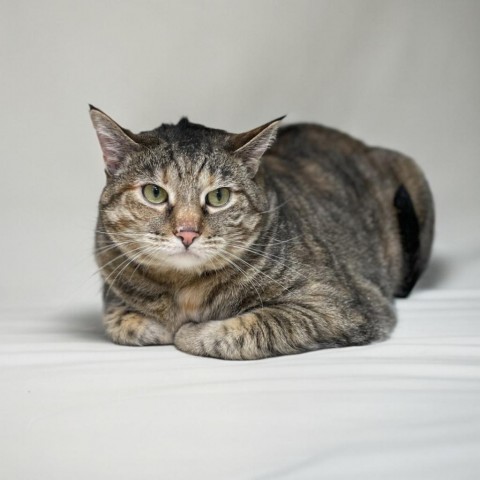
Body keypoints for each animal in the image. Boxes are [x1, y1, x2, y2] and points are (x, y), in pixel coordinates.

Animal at [90, 106, 436, 360]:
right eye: (154, 193)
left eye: (219, 197)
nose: (187, 233)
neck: (184, 289)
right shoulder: (111, 284)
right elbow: (121, 322)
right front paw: (158, 326)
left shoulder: (338, 306)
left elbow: (251, 327)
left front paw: (189, 332)